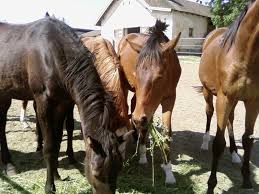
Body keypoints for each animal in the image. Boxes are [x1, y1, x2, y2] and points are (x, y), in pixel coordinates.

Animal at [0, 17, 132, 193]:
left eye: (119, 169)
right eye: (96, 173)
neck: (53, 53)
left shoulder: (62, 103)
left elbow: (57, 142)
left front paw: (56, 175)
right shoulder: (43, 102)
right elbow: (49, 146)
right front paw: (49, 186)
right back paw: (8, 164)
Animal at [118, 20, 182, 185]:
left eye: (159, 76)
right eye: (135, 74)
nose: (137, 118)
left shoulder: (169, 99)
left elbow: (166, 131)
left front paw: (169, 172)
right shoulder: (145, 107)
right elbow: (145, 124)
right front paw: (142, 156)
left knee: (134, 105)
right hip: (125, 87)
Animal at [196, 27, 243, 164]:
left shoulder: (233, 97)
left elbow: (230, 119)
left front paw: (234, 152)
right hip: (207, 91)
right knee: (209, 111)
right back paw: (205, 142)